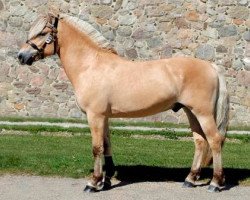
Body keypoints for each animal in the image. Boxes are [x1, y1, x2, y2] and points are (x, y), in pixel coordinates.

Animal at [17, 12, 229, 192]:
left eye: (42, 32)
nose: (21, 56)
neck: (90, 65)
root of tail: (211, 66)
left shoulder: (95, 116)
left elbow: (96, 148)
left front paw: (93, 183)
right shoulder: (104, 117)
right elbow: (106, 145)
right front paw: (106, 180)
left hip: (203, 113)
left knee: (214, 140)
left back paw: (215, 183)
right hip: (190, 112)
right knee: (200, 142)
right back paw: (190, 179)